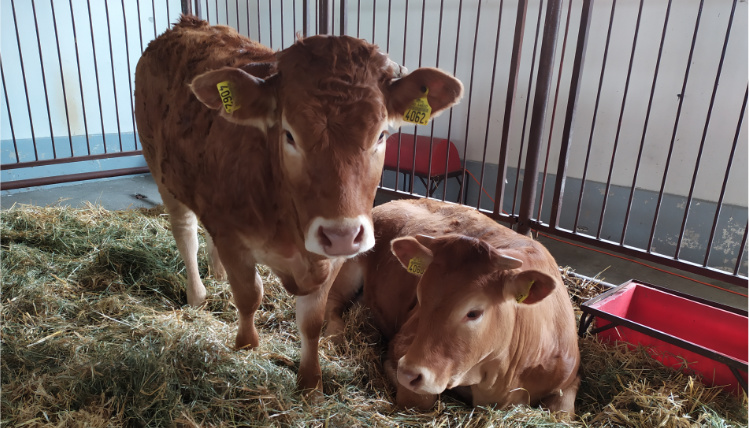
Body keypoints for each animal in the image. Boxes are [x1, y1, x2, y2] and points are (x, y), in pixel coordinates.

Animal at [134, 15, 462, 392]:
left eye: (381, 134)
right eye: (289, 134)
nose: (341, 235)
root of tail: (188, 23)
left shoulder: (330, 258)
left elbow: (311, 321)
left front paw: (310, 381)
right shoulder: (233, 238)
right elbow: (249, 295)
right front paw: (246, 345)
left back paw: (216, 275)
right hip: (161, 170)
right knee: (185, 233)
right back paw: (198, 294)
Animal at [326, 200, 580, 414]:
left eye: (474, 312)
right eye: (420, 298)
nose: (407, 373)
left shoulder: (570, 380)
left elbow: (561, 414)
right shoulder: (404, 344)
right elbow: (421, 399)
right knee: (331, 304)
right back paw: (336, 336)